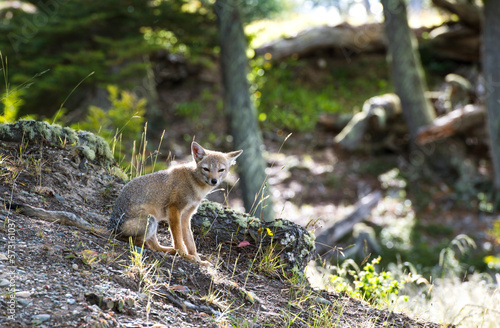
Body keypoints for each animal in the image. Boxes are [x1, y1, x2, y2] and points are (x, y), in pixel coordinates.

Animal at [108, 142, 242, 266]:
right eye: (206, 169)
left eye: (221, 170)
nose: (214, 181)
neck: (195, 185)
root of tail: (111, 226)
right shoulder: (174, 209)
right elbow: (178, 238)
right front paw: (185, 255)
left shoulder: (186, 216)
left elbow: (190, 241)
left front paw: (198, 260)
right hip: (150, 220)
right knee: (132, 240)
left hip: (154, 223)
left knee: (156, 246)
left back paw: (170, 251)